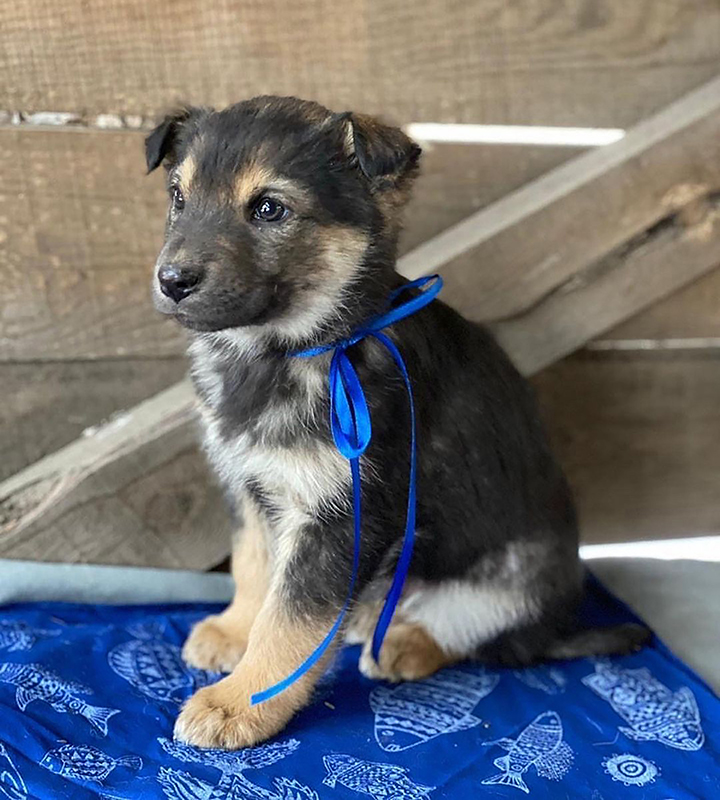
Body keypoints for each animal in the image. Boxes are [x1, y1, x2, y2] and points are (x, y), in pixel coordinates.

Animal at [145, 95, 648, 752]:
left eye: (269, 208)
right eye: (178, 197)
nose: (172, 282)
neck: (297, 350)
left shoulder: (342, 518)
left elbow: (290, 621)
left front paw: (242, 702)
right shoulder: (253, 487)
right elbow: (255, 565)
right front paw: (235, 631)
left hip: (509, 582)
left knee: (477, 635)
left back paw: (402, 642)